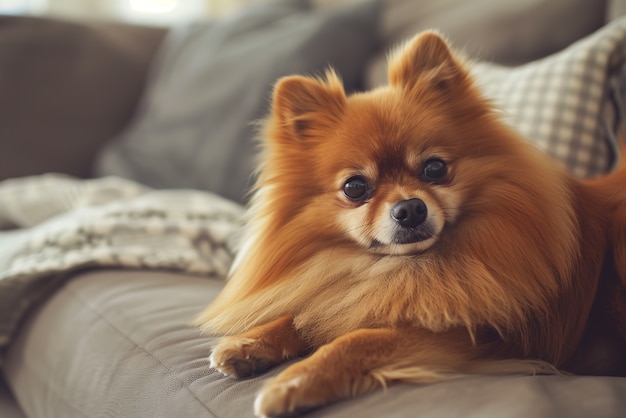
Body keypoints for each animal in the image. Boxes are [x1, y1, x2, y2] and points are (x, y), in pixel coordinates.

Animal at [195, 31, 624, 416]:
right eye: (355, 187)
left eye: (435, 168)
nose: (410, 209)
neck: (405, 269)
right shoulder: (349, 297)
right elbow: (308, 312)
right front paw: (248, 344)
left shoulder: (467, 336)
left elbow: (357, 340)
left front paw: (294, 382)